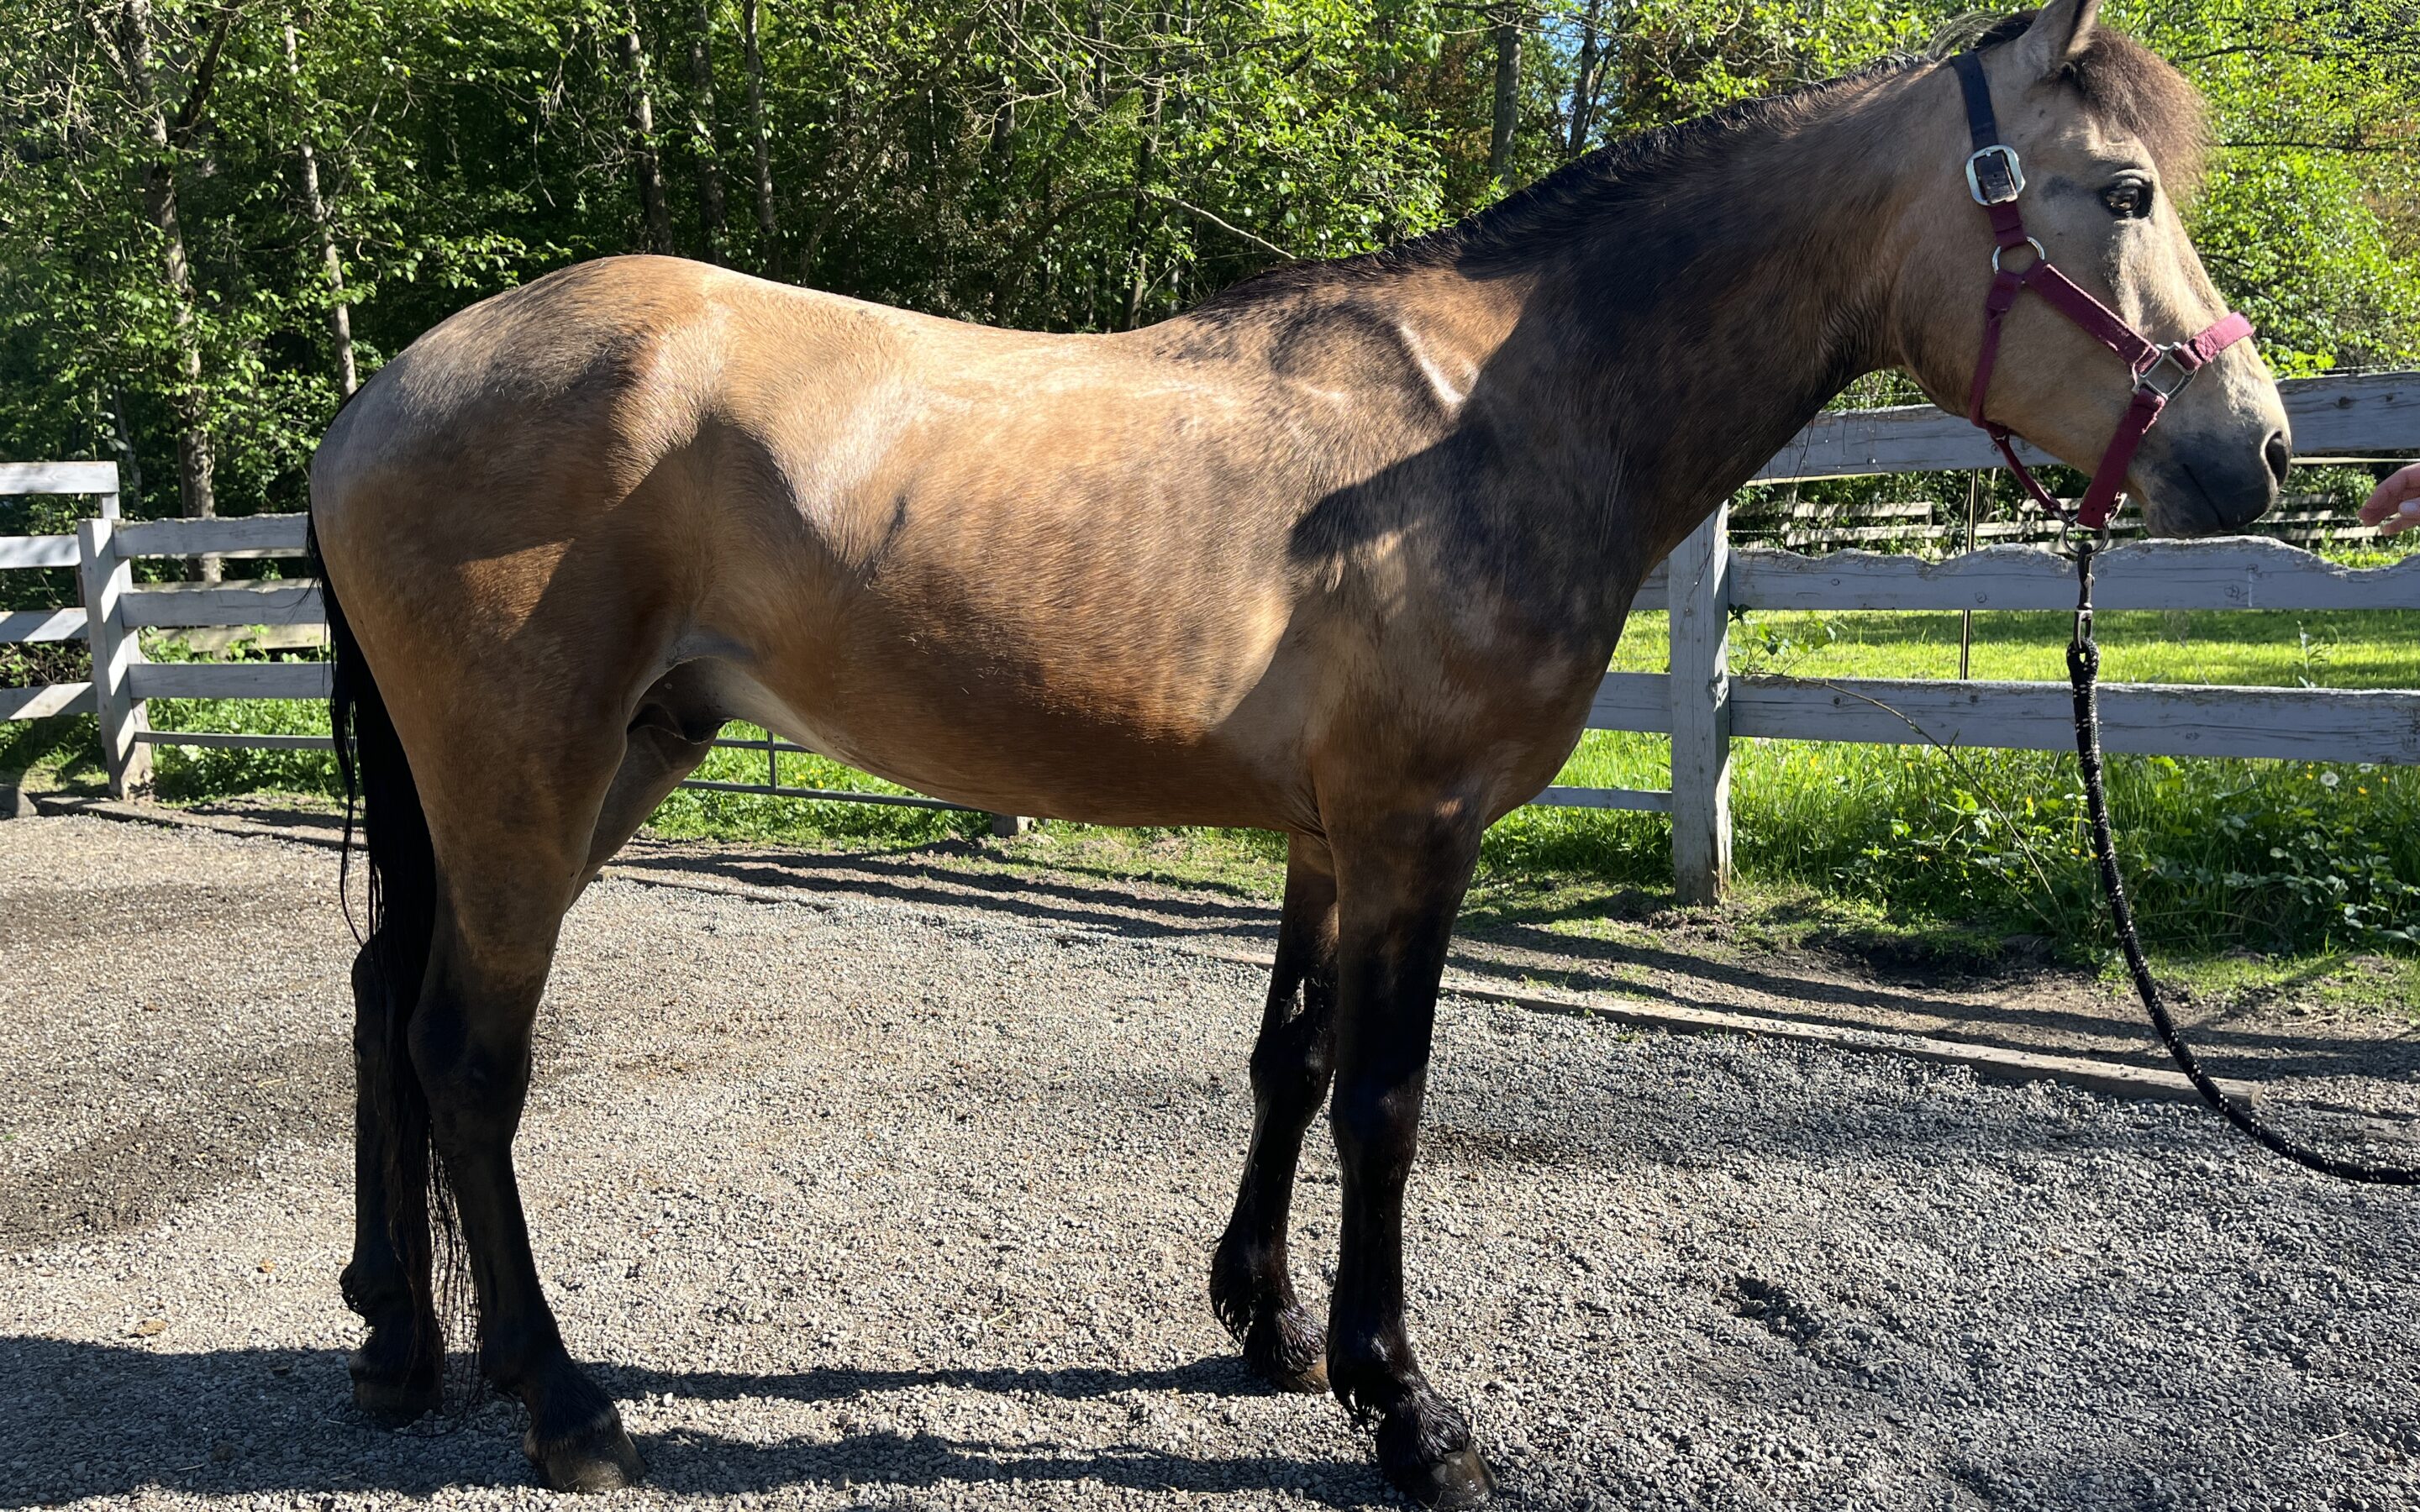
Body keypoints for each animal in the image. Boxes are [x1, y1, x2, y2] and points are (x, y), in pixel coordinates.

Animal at [307, 3, 2284, 1499]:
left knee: (389, 1004)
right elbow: (1387, 1102)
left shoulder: (1332, 836)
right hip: (530, 776)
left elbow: (1292, 1064)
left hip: (595, 767)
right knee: (468, 1052)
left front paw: (1265, 1326)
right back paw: (563, 1401)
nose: (2254, 448)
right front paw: (1405, 1407)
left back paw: (404, 1343)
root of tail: (380, 397)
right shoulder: (1421, 831)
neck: (1488, 412)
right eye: (2123, 191)